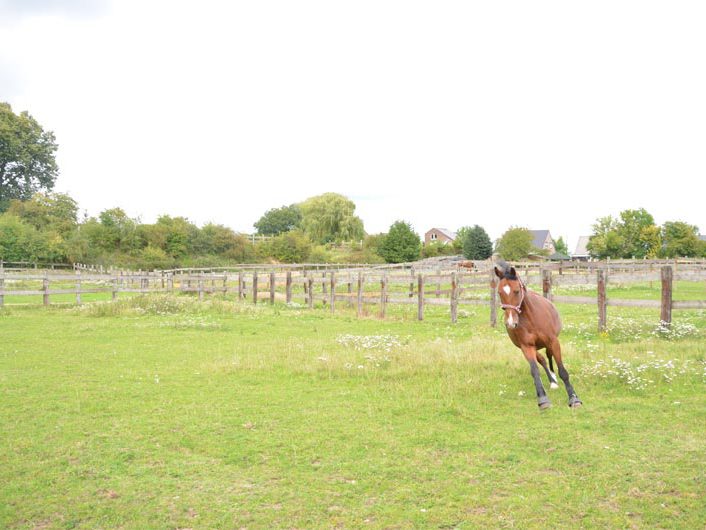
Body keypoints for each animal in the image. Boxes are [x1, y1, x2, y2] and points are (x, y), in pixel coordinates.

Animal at [492, 260, 580, 408]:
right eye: (499, 292)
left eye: (516, 291)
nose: (511, 323)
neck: (532, 318)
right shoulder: (526, 347)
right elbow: (535, 371)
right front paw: (543, 399)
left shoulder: (553, 341)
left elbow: (562, 370)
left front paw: (574, 398)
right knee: (542, 360)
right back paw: (552, 381)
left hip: (548, 344)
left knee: (548, 356)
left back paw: (554, 379)